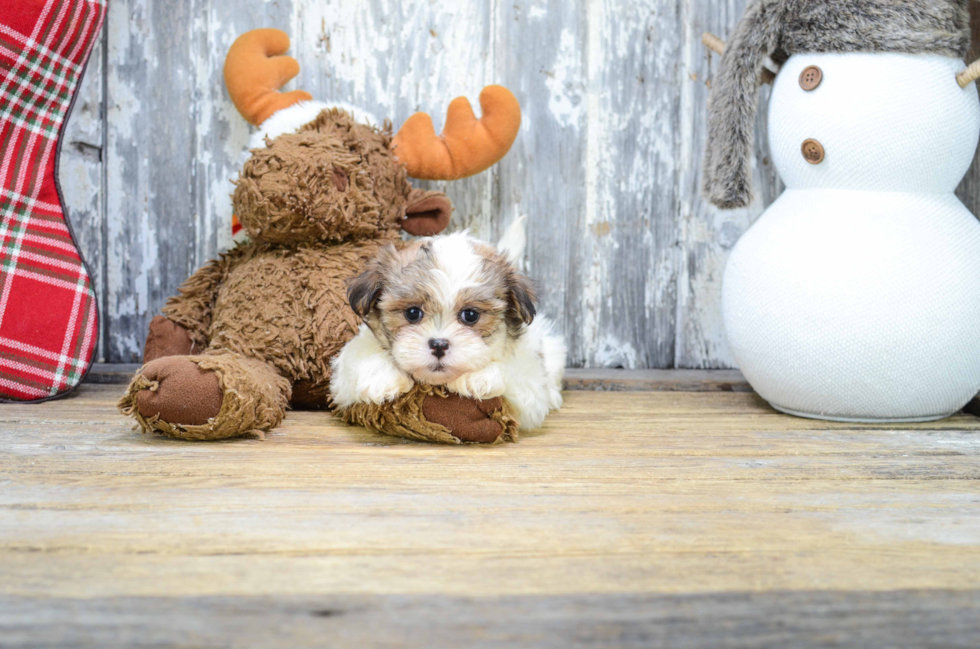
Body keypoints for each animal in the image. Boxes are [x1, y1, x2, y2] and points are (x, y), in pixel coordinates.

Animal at [328, 220, 564, 432]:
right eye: (412, 313)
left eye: (470, 315)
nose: (439, 345)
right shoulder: (344, 378)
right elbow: (359, 356)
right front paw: (382, 379)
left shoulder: (529, 387)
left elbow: (514, 374)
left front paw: (480, 378)